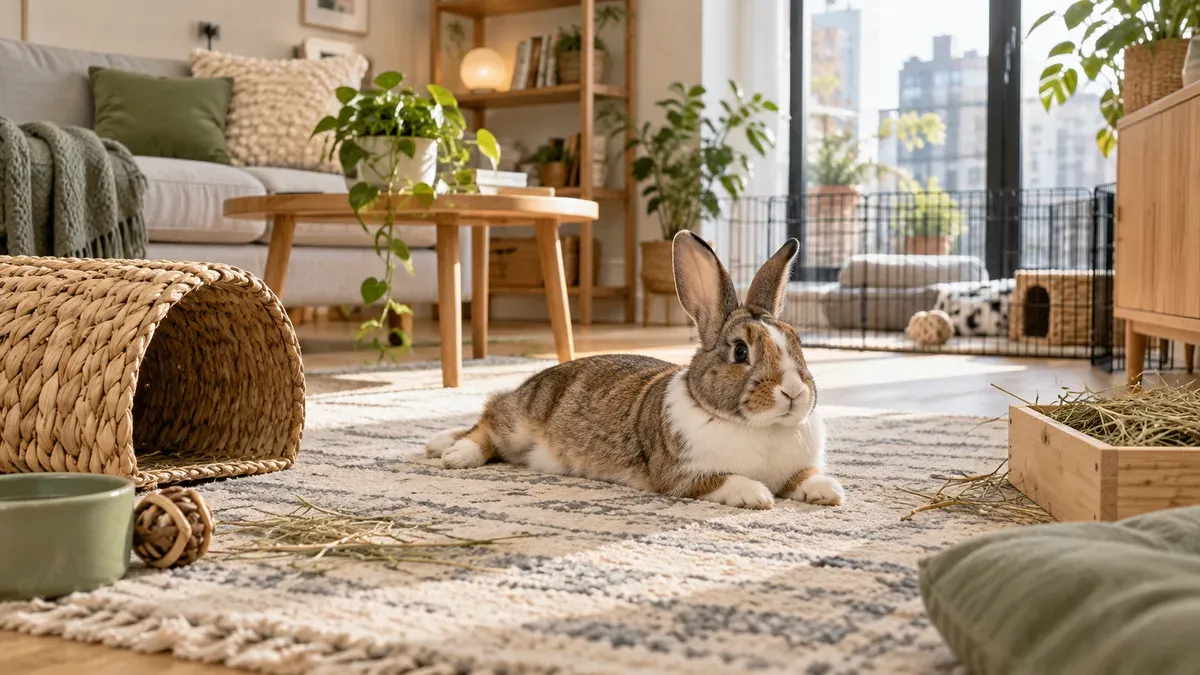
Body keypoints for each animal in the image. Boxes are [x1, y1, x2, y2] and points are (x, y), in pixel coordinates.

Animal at [425, 231, 843, 510]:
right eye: (741, 352)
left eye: (797, 341)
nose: (794, 392)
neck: (759, 427)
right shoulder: (681, 475)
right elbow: (722, 481)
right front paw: (755, 495)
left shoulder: (794, 467)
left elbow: (804, 476)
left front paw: (829, 490)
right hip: (519, 422)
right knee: (487, 421)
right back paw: (452, 452)